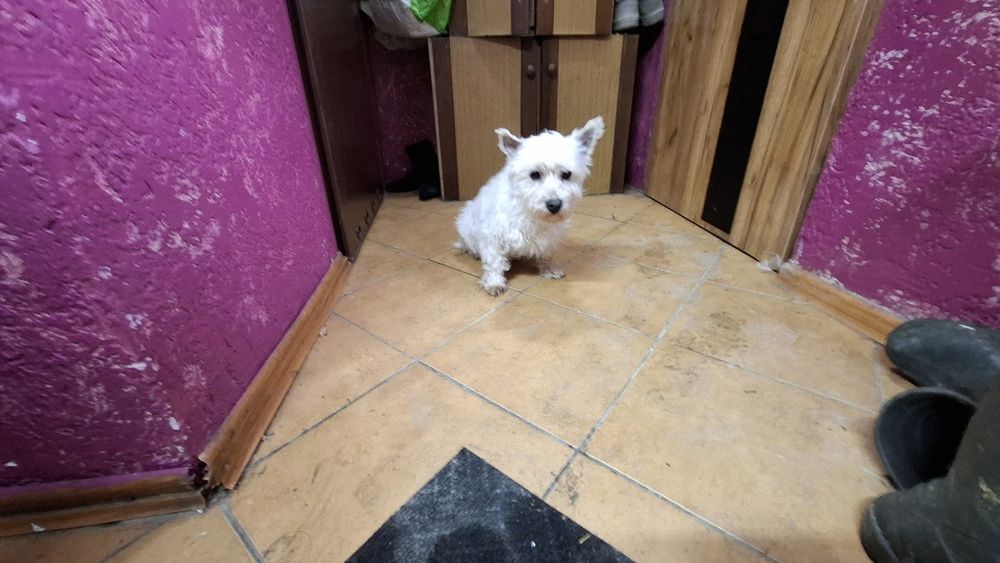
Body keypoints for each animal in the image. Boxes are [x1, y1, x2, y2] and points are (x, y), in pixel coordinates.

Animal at [454, 116, 605, 296]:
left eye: (566, 174)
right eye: (534, 174)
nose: (554, 205)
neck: (531, 213)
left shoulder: (548, 238)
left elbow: (546, 255)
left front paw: (548, 269)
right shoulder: (493, 236)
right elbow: (494, 262)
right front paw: (494, 283)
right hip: (465, 227)